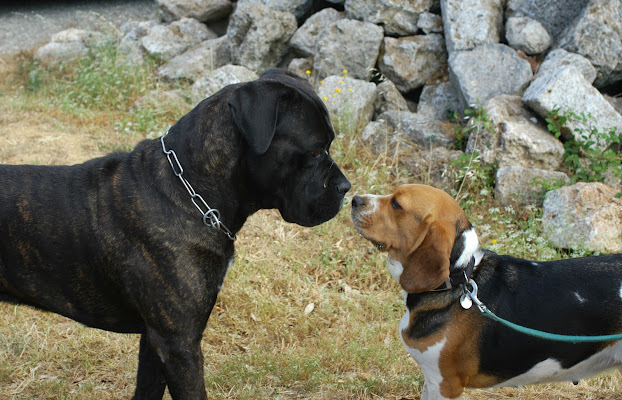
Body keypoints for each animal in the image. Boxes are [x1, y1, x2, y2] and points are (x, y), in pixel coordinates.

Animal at [0, 70, 352, 398]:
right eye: (315, 152)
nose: (346, 187)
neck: (191, 195)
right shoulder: (178, 344)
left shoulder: (154, 341)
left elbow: (147, 390)